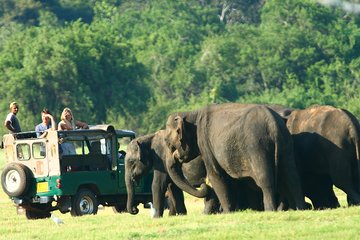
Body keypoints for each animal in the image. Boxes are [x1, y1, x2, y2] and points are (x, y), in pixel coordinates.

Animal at [165, 103, 306, 212]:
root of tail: (273, 125)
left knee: (266, 180)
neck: (191, 113)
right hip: (286, 144)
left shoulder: (205, 143)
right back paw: (300, 208)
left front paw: (228, 212)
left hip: (257, 147)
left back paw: (270, 210)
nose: (203, 184)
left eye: (167, 143)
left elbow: (216, 175)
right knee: (292, 176)